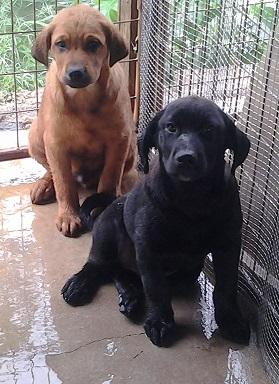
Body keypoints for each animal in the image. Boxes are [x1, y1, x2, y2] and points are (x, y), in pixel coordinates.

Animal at [28, 4, 138, 237]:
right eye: (61, 44)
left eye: (93, 44)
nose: (76, 73)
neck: (83, 98)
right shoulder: (56, 144)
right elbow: (64, 184)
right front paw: (68, 215)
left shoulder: (119, 139)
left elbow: (109, 177)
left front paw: (101, 206)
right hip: (35, 136)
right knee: (51, 170)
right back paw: (45, 185)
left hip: (131, 147)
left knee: (120, 175)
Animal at [63, 97, 252, 348]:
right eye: (171, 128)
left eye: (209, 130)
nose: (186, 158)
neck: (192, 198)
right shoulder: (148, 248)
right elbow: (156, 288)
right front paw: (161, 322)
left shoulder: (228, 245)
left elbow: (226, 285)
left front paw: (231, 321)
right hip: (108, 228)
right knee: (99, 265)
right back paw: (81, 284)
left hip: (185, 273)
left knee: (119, 271)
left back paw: (130, 298)